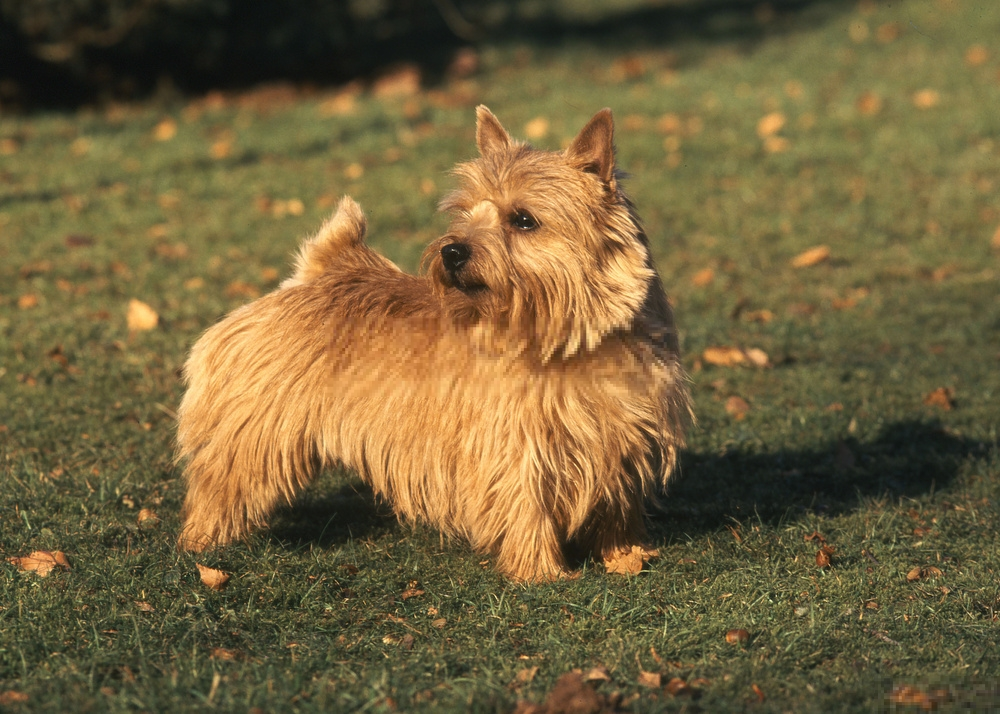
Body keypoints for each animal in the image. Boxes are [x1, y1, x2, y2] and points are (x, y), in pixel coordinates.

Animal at [176, 108, 692, 580]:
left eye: (523, 219)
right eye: (464, 213)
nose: (452, 250)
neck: (571, 342)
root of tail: (320, 272)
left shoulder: (623, 437)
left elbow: (617, 504)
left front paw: (624, 556)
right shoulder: (514, 447)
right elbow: (526, 507)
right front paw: (540, 572)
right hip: (258, 427)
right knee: (221, 479)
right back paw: (202, 543)